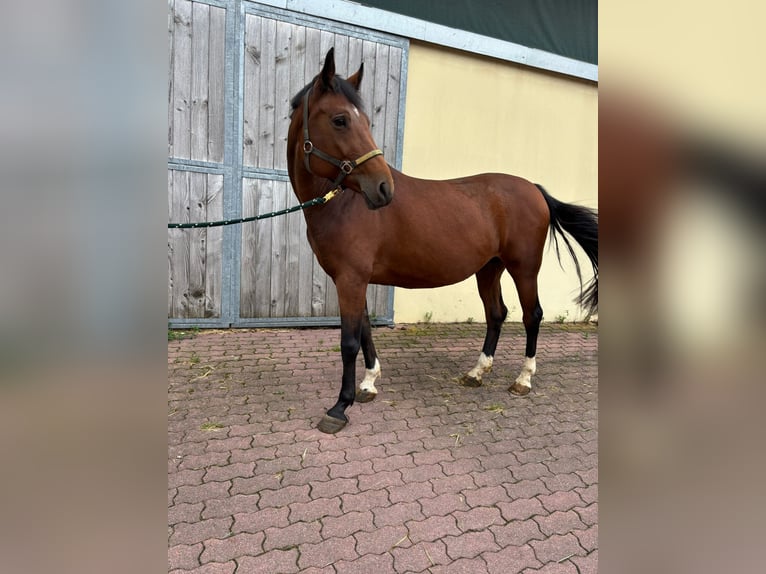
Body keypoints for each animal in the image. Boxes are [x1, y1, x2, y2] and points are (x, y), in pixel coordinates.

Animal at [286, 48, 597, 434]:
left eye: (364, 122)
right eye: (341, 120)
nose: (383, 188)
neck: (342, 203)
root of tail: (534, 190)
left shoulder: (351, 280)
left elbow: (349, 341)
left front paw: (340, 407)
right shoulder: (354, 280)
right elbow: (365, 331)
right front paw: (368, 384)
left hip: (524, 268)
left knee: (532, 315)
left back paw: (523, 379)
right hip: (489, 269)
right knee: (497, 313)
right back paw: (477, 373)